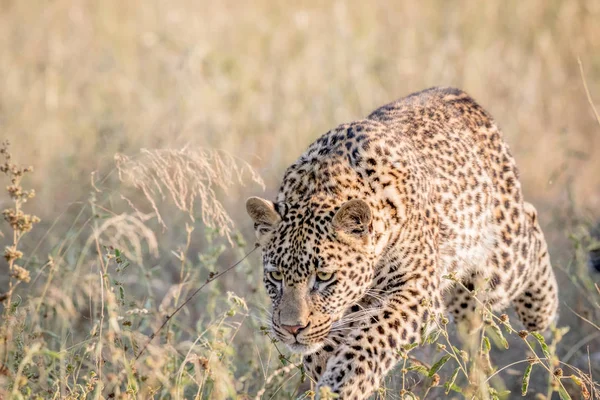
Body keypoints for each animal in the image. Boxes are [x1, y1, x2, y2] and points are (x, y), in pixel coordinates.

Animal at [244, 86, 556, 398]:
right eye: (276, 276)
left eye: (323, 276)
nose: (292, 329)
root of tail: (457, 93)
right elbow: (325, 346)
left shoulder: (416, 289)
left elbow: (373, 337)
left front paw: (342, 386)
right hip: (465, 284)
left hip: (500, 259)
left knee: (530, 223)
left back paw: (542, 315)